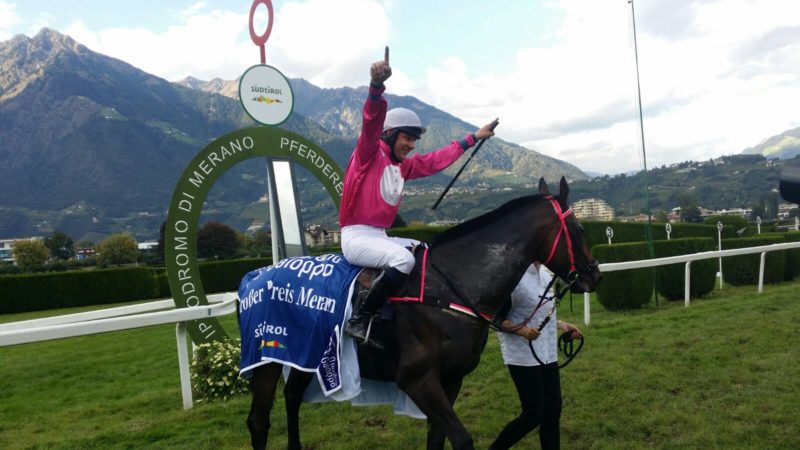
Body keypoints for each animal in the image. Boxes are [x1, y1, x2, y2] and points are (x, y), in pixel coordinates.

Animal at [242, 176, 600, 450]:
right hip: (267, 359)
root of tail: (255, 275)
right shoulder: (417, 379)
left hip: (306, 353)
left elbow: (436, 439)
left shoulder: (451, 379)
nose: (595, 275)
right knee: (259, 421)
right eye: (580, 230)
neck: (450, 290)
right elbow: (461, 439)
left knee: (291, 397)